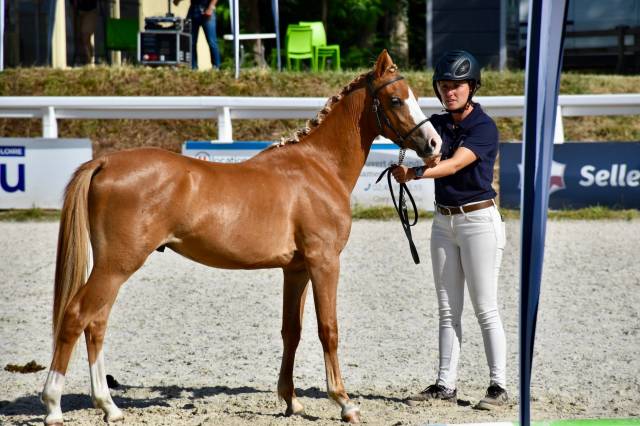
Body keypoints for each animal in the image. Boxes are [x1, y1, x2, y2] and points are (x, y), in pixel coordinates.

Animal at [40, 50, 442, 424]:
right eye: (396, 99)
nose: (434, 144)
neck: (318, 167)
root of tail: (105, 162)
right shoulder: (324, 262)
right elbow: (328, 329)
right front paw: (344, 402)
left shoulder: (296, 269)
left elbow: (292, 331)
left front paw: (291, 401)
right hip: (116, 265)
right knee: (76, 317)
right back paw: (53, 406)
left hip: (112, 268)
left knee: (96, 324)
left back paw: (109, 407)